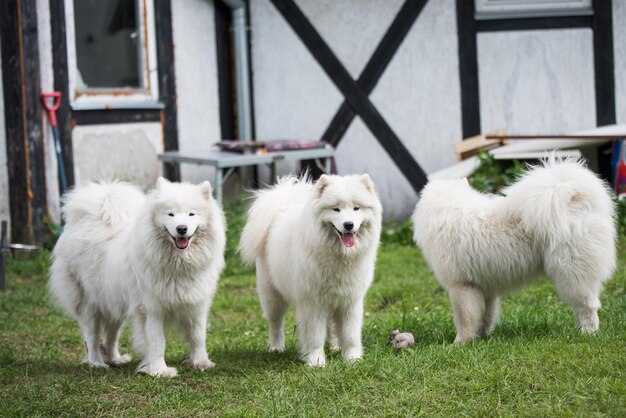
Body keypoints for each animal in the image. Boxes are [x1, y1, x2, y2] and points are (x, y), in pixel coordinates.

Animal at [48, 178, 224, 378]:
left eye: (191, 214)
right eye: (170, 214)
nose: (181, 229)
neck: (178, 264)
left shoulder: (197, 305)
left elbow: (198, 336)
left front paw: (201, 363)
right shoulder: (152, 309)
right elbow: (157, 343)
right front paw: (159, 371)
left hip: (114, 303)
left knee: (111, 335)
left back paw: (115, 359)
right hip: (90, 304)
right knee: (91, 337)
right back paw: (97, 363)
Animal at [238, 173, 380, 366]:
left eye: (356, 208)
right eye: (336, 209)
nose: (348, 224)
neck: (340, 258)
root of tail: (282, 206)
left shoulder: (350, 301)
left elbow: (350, 335)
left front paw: (352, 359)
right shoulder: (312, 303)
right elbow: (314, 337)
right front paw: (316, 361)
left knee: (331, 325)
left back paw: (335, 346)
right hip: (273, 295)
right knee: (275, 323)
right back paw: (276, 347)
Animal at [410, 158, 616, 344]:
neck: (448, 208)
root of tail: (572, 197)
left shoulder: (461, 286)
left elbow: (464, 318)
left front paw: (461, 342)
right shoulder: (485, 286)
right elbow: (486, 314)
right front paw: (483, 335)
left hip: (570, 273)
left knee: (587, 305)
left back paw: (587, 332)